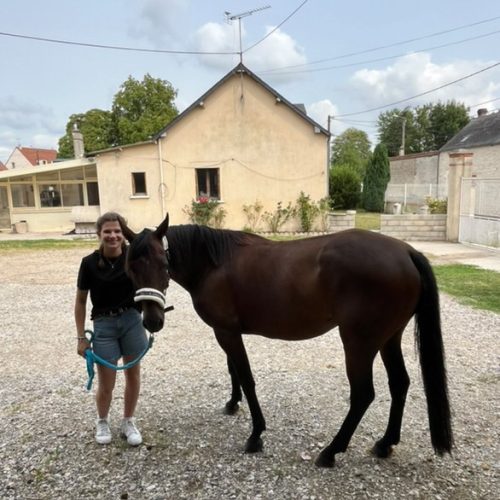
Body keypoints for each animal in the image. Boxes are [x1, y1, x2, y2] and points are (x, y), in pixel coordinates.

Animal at [122, 215, 454, 468]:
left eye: (164, 263)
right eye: (131, 268)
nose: (152, 321)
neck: (213, 264)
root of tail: (406, 251)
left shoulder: (227, 332)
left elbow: (246, 377)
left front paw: (256, 434)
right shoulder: (225, 330)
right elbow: (233, 371)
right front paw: (232, 404)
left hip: (359, 343)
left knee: (363, 395)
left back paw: (331, 452)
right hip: (389, 339)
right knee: (399, 384)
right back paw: (384, 444)